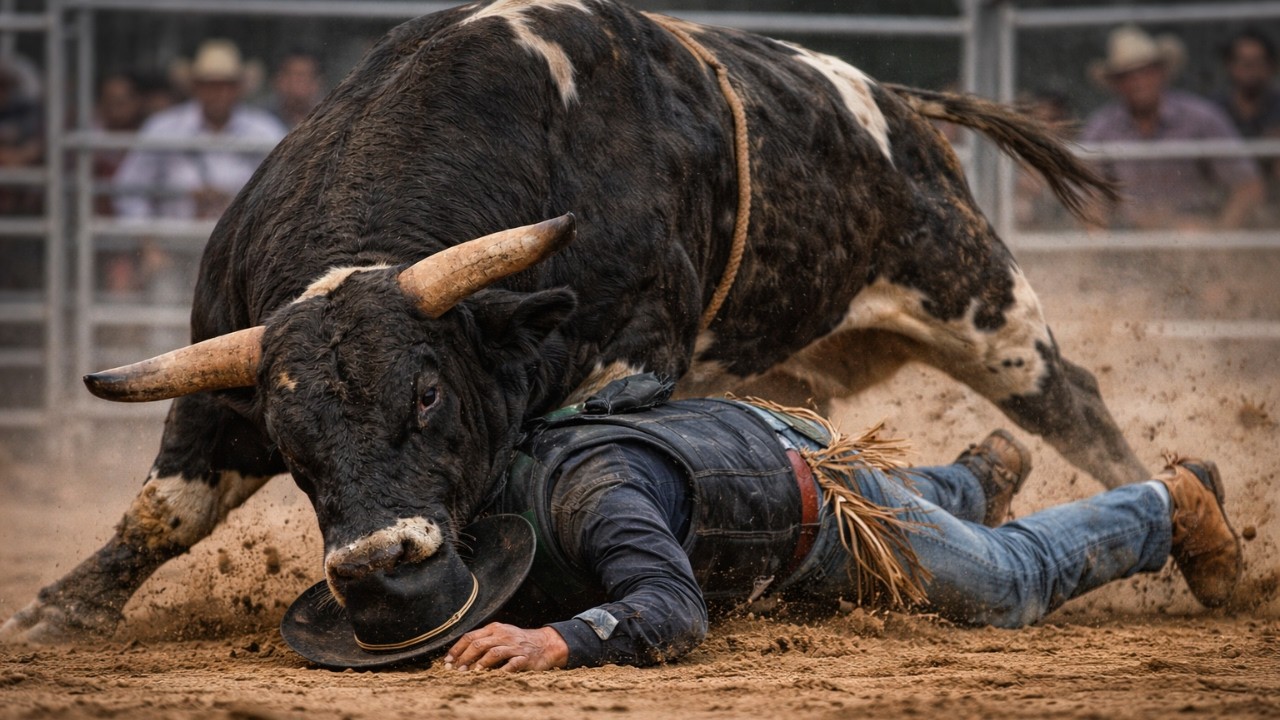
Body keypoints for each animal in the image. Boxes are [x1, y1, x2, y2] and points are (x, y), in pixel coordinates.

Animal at [2, 0, 1148, 643]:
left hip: (974, 295)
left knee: (1071, 402)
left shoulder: (631, 354)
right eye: (290, 442)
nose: (380, 558)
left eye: (428, 392)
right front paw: (58, 611)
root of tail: (894, 99)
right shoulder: (221, 388)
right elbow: (163, 513)